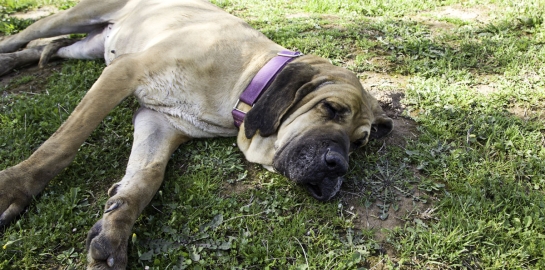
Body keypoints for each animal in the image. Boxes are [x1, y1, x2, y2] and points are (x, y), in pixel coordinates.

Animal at [0, 0, 392, 268]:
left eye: (359, 142)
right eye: (331, 109)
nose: (338, 166)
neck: (246, 79)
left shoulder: (160, 123)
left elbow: (146, 177)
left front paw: (114, 229)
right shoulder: (125, 71)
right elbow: (64, 142)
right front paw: (14, 187)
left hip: (90, 48)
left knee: (49, 49)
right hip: (77, 16)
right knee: (25, 37)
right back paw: (6, 57)